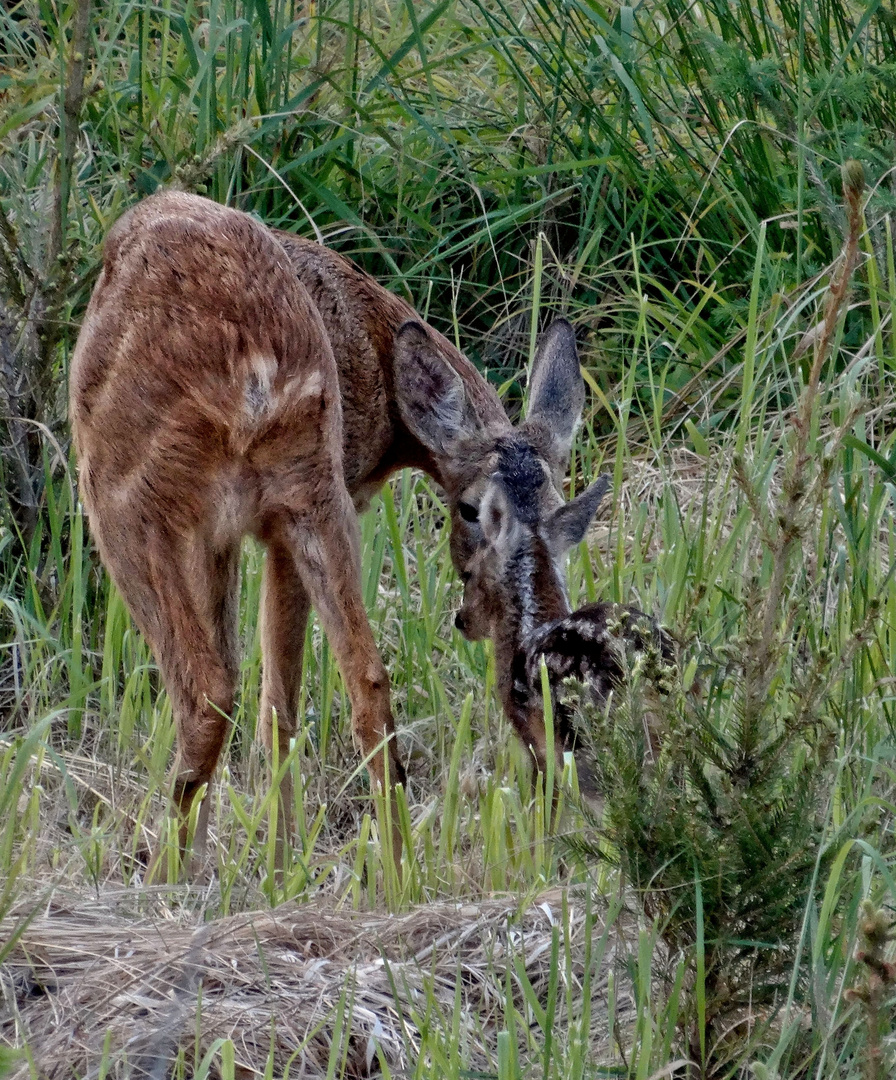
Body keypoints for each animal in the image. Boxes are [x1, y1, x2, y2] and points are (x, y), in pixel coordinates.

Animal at [70, 190, 595, 872]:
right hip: (312, 491)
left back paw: (166, 873)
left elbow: (265, 689)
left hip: (123, 497)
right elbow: (281, 697)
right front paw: (277, 860)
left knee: (207, 688)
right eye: (470, 509)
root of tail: (253, 370)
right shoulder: (248, 527)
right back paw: (395, 873)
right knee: (365, 679)